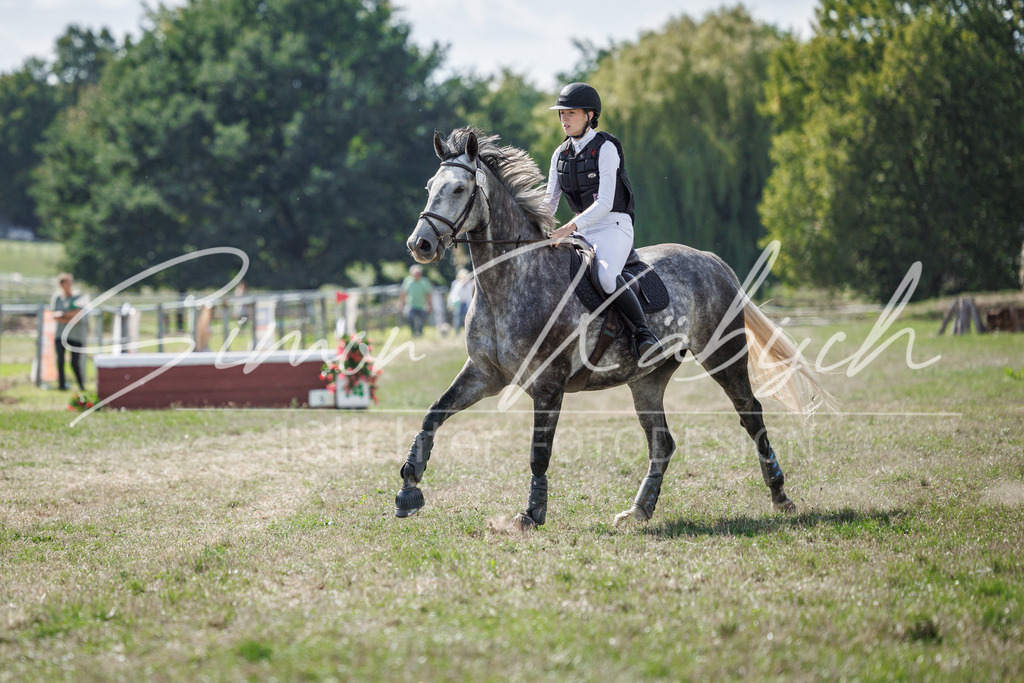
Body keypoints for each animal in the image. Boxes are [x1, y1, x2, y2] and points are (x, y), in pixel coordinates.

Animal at [396, 128, 833, 529]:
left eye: (458, 188)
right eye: (430, 187)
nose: (420, 244)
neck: (509, 281)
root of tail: (710, 259)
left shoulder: (548, 383)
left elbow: (539, 451)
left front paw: (532, 513)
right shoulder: (485, 375)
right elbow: (433, 415)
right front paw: (408, 486)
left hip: (722, 356)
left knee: (751, 415)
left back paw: (780, 495)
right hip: (647, 379)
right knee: (662, 442)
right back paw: (639, 510)